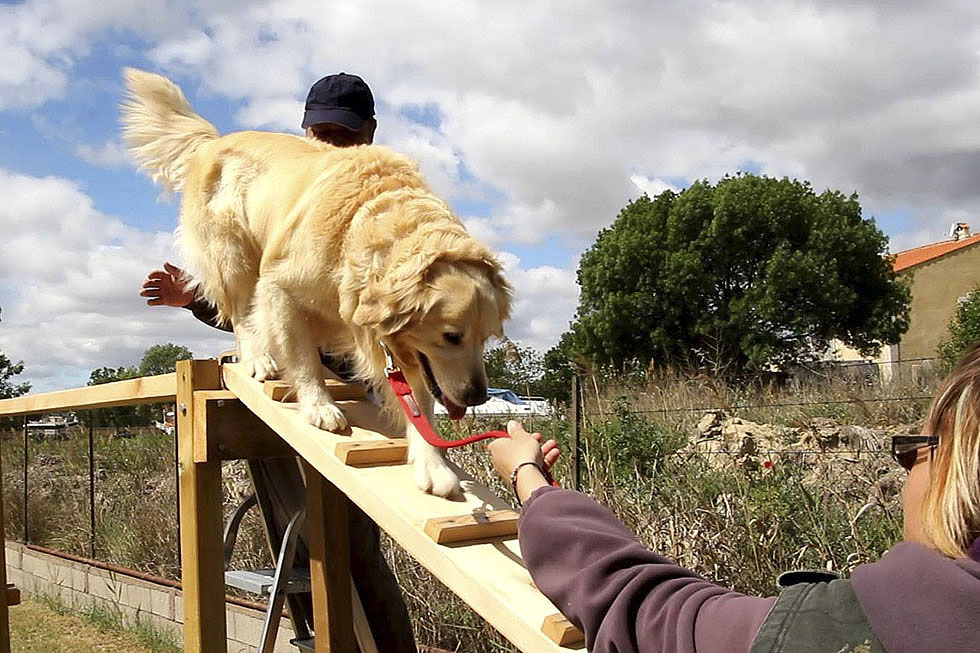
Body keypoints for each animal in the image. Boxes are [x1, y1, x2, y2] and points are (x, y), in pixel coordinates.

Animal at [122, 69, 512, 496]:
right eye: (452, 336)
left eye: (485, 338)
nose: (477, 397)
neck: (367, 226)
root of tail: (215, 140)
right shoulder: (279, 285)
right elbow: (302, 355)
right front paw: (319, 405)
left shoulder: (405, 349)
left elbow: (419, 402)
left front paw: (434, 465)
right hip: (233, 252)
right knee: (241, 312)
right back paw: (258, 358)